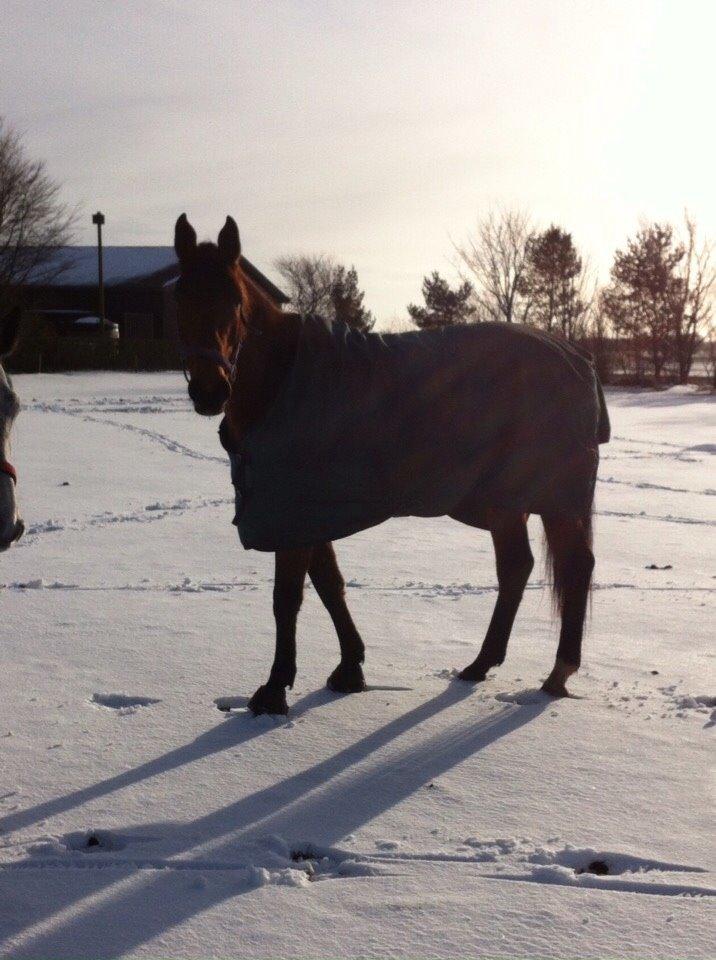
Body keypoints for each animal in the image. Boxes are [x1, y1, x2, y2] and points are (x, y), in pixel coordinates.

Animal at [176, 216, 608, 712]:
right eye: (179, 298)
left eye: (234, 301)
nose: (210, 392)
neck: (282, 381)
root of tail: (580, 360)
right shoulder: (310, 512)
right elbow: (329, 584)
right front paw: (349, 668)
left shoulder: (293, 515)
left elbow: (287, 598)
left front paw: (274, 689)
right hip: (504, 500)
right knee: (517, 566)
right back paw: (481, 665)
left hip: (553, 498)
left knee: (575, 566)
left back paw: (557, 673)